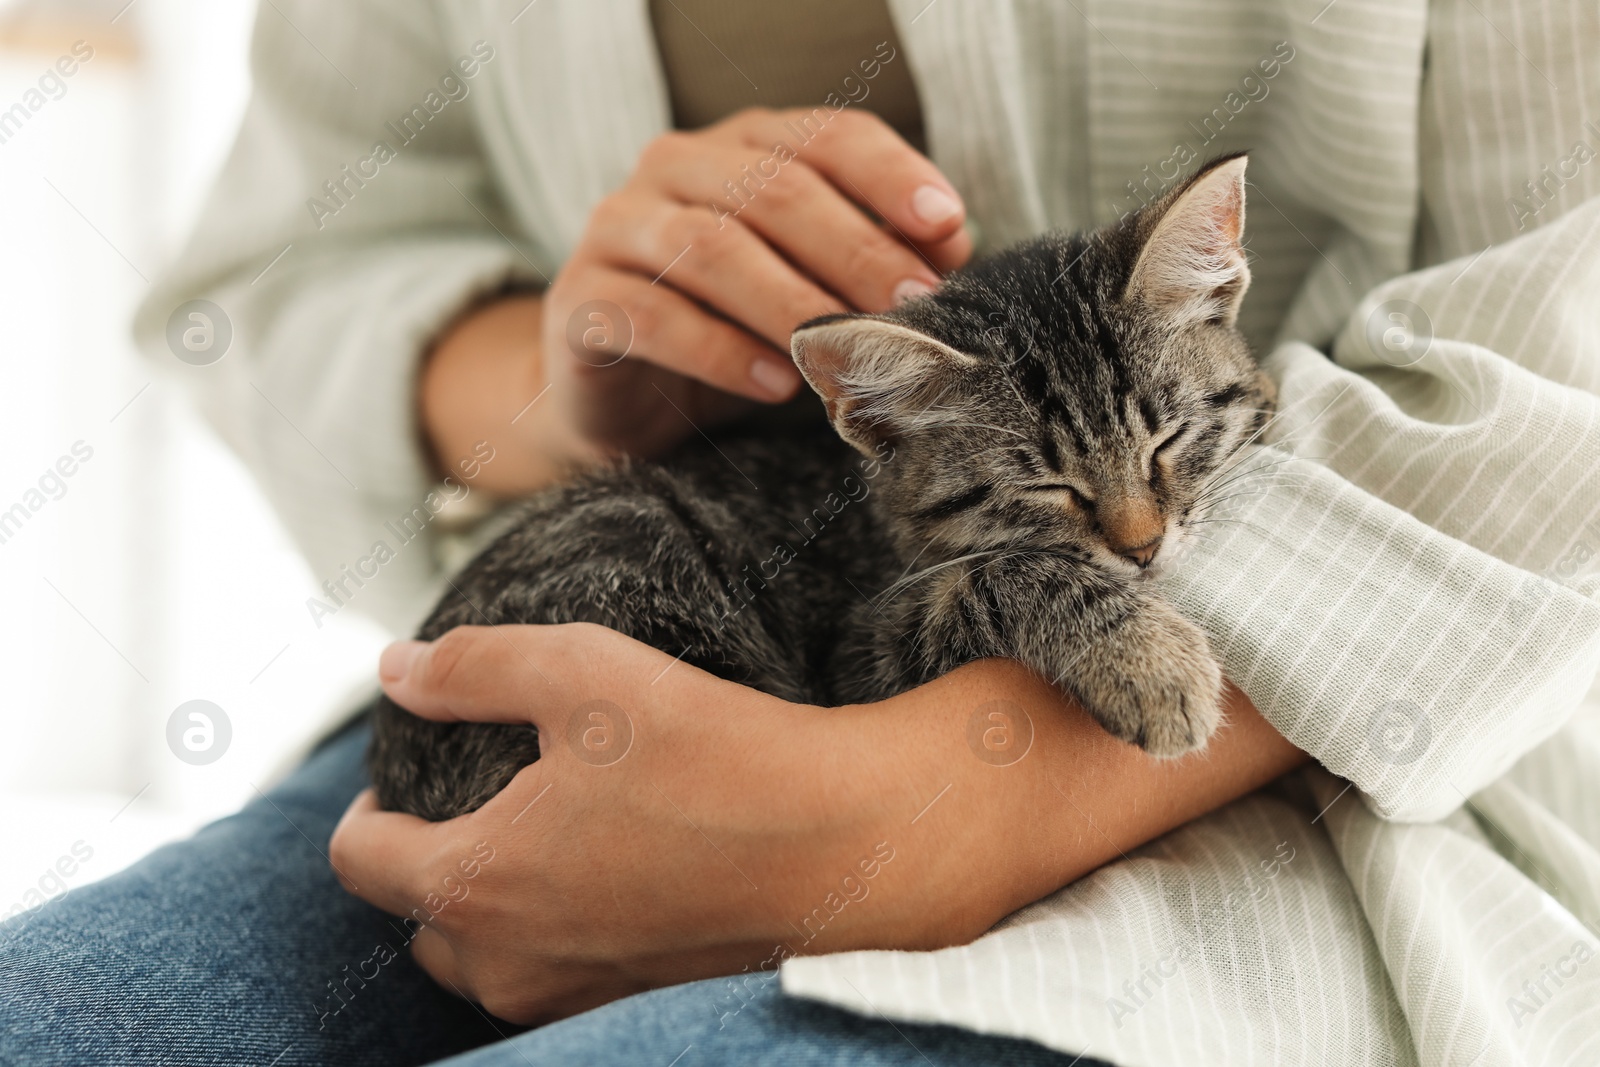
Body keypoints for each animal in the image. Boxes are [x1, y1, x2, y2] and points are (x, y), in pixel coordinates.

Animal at [366, 156, 1273, 825]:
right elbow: (997, 575)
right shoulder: (859, 664)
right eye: (1046, 484)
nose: (1143, 547)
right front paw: (1147, 659)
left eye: (1168, 441)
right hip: (628, 532)